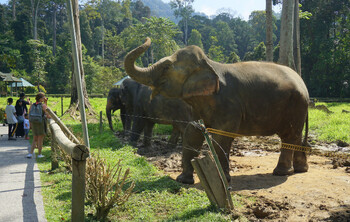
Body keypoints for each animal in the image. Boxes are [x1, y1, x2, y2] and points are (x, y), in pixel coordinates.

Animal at [124, 37, 310, 184]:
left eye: (167, 67)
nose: (147, 39)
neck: (209, 64)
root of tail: (304, 86)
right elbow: (192, 133)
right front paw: (183, 180)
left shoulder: (228, 104)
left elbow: (222, 137)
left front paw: (223, 180)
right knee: (296, 136)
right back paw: (300, 169)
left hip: (295, 105)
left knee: (289, 136)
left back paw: (281, 172)